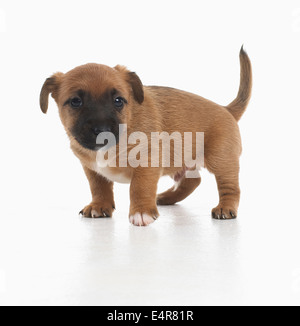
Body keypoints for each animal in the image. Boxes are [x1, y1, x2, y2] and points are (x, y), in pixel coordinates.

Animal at [39, 46, 251, 227]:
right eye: (75, 101)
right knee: (192, 181)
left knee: (230, 187)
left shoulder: (146, 163)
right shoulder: (92, 169)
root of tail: (226, 109)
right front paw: (100, 205)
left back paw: (225, 208)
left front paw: (142, 212)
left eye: (118, 101)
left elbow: (139, 187)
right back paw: (165, 197)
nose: (102, 129)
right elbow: (99, 187)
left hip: (221, 160)